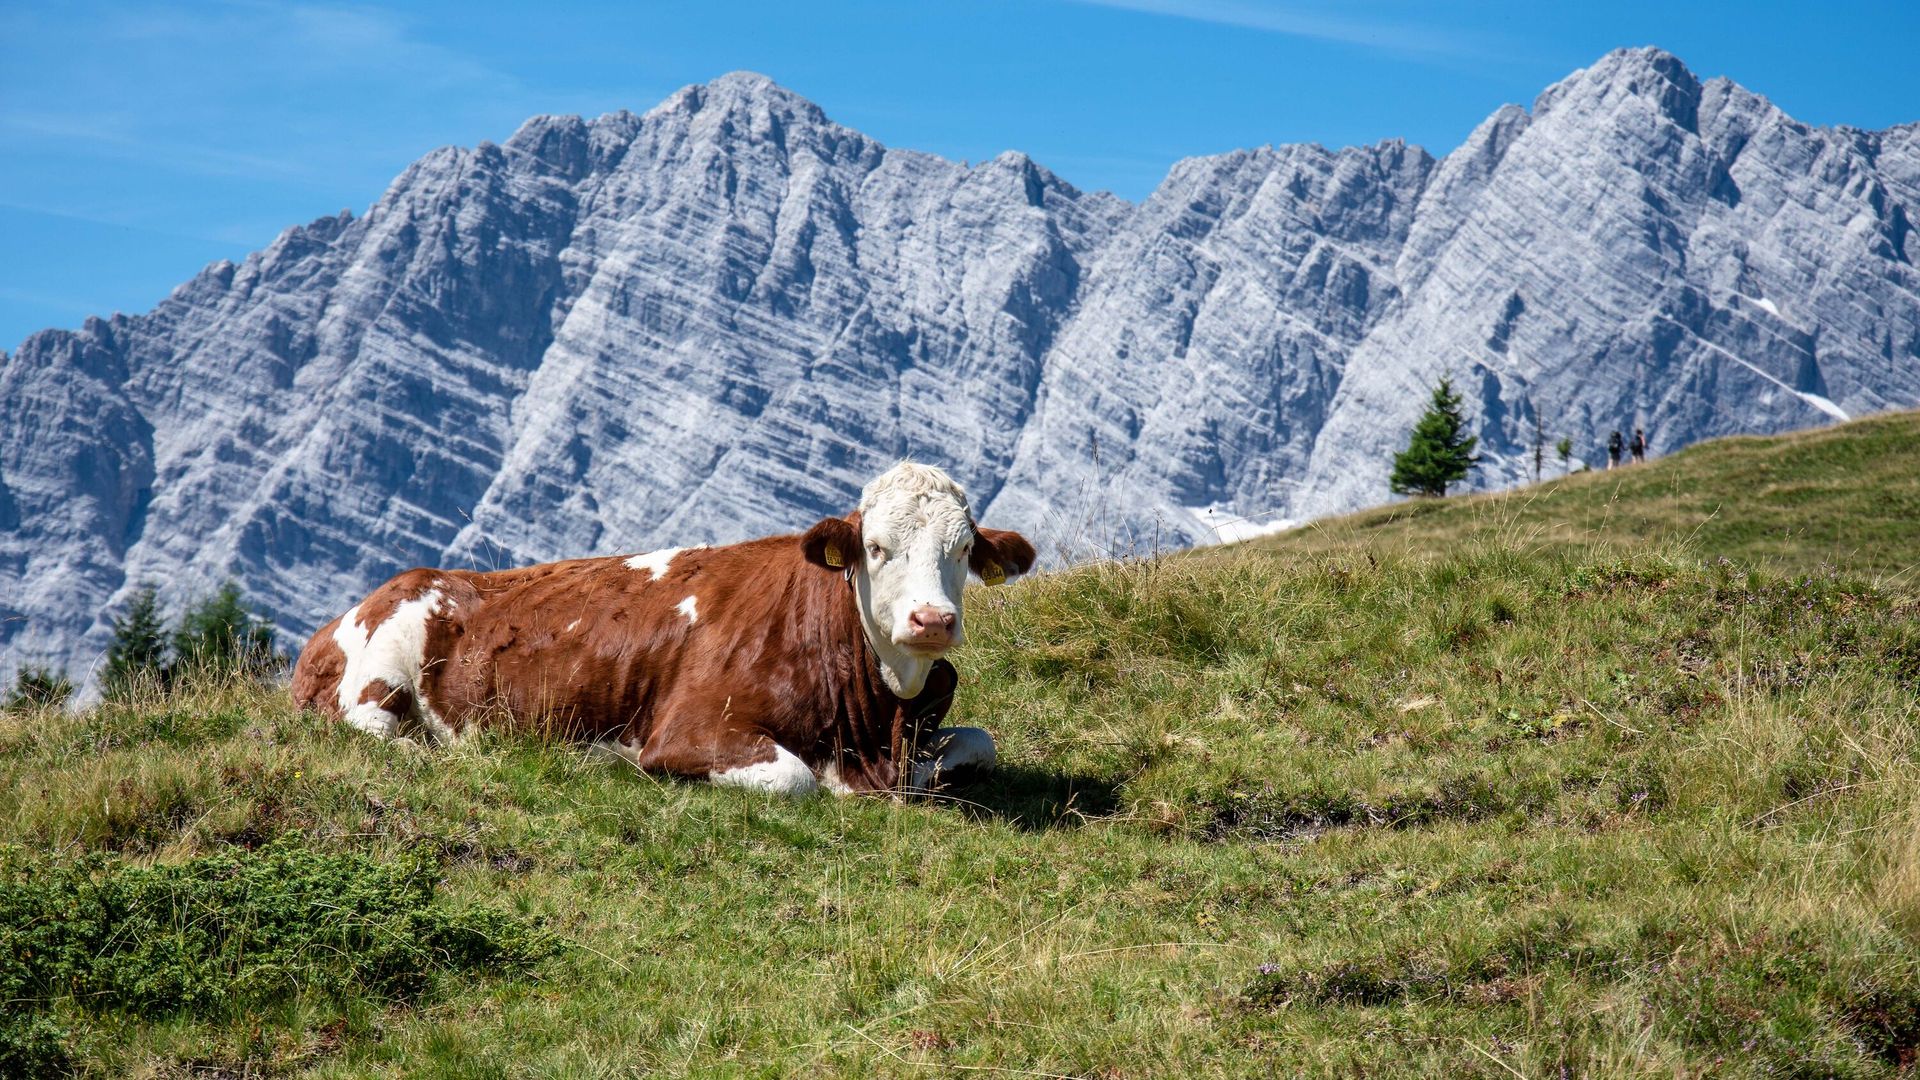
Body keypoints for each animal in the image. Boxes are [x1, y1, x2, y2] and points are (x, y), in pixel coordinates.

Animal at [289, 463, 1037, 794]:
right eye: (877, 548)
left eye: (963, 551)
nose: (932, 620)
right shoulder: (691, 729)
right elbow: (794, 778)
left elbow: (980, 742)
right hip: (379, 670)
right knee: (378, 731)